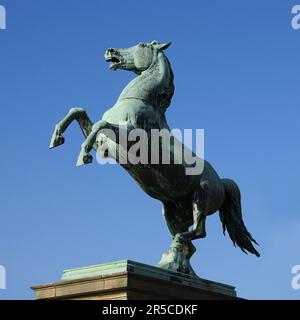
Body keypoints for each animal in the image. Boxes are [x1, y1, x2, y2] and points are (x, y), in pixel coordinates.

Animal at [49, 40, 258, 276]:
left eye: (141, 44)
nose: (110, 51)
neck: (141, 101)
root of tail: (222, 182)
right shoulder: (106, 141)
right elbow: (79, 112)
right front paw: (56, 138)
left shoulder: (128, 135)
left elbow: (99, 125)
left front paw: (82, 156)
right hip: (171, 212)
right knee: (190, 243)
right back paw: (174, 261)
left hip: (201, 198)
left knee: (199, 231)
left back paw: (177, 252)